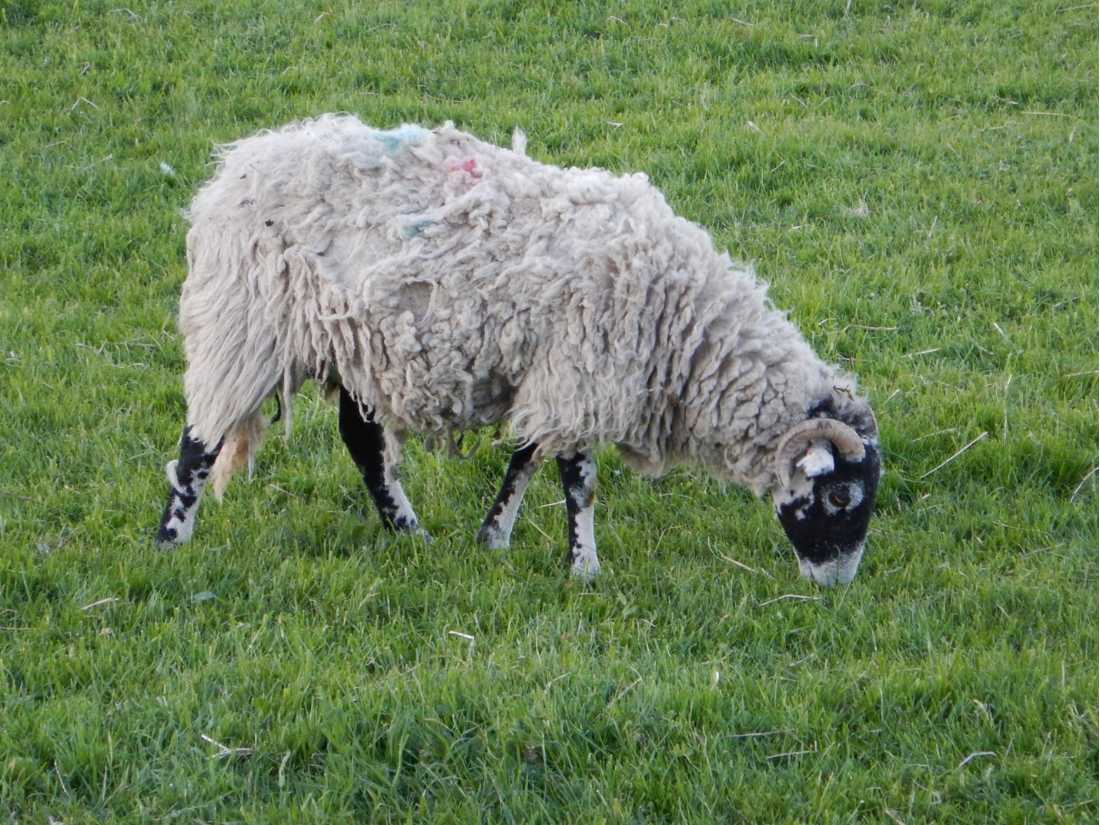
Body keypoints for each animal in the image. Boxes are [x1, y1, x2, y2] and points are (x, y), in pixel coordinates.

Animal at [155, 115, 882, 586]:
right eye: (841, 497)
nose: (835, 586)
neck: (684, 323)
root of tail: (233, 167)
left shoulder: (554, 376)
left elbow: (525, 459)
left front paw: (493, 538)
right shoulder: (582, 374)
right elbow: (578, 481)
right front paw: (584, 569)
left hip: (355, 342)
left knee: (361, 443)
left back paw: (409, 533)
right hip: (245, 323)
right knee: (199, 443)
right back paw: (170, 544)